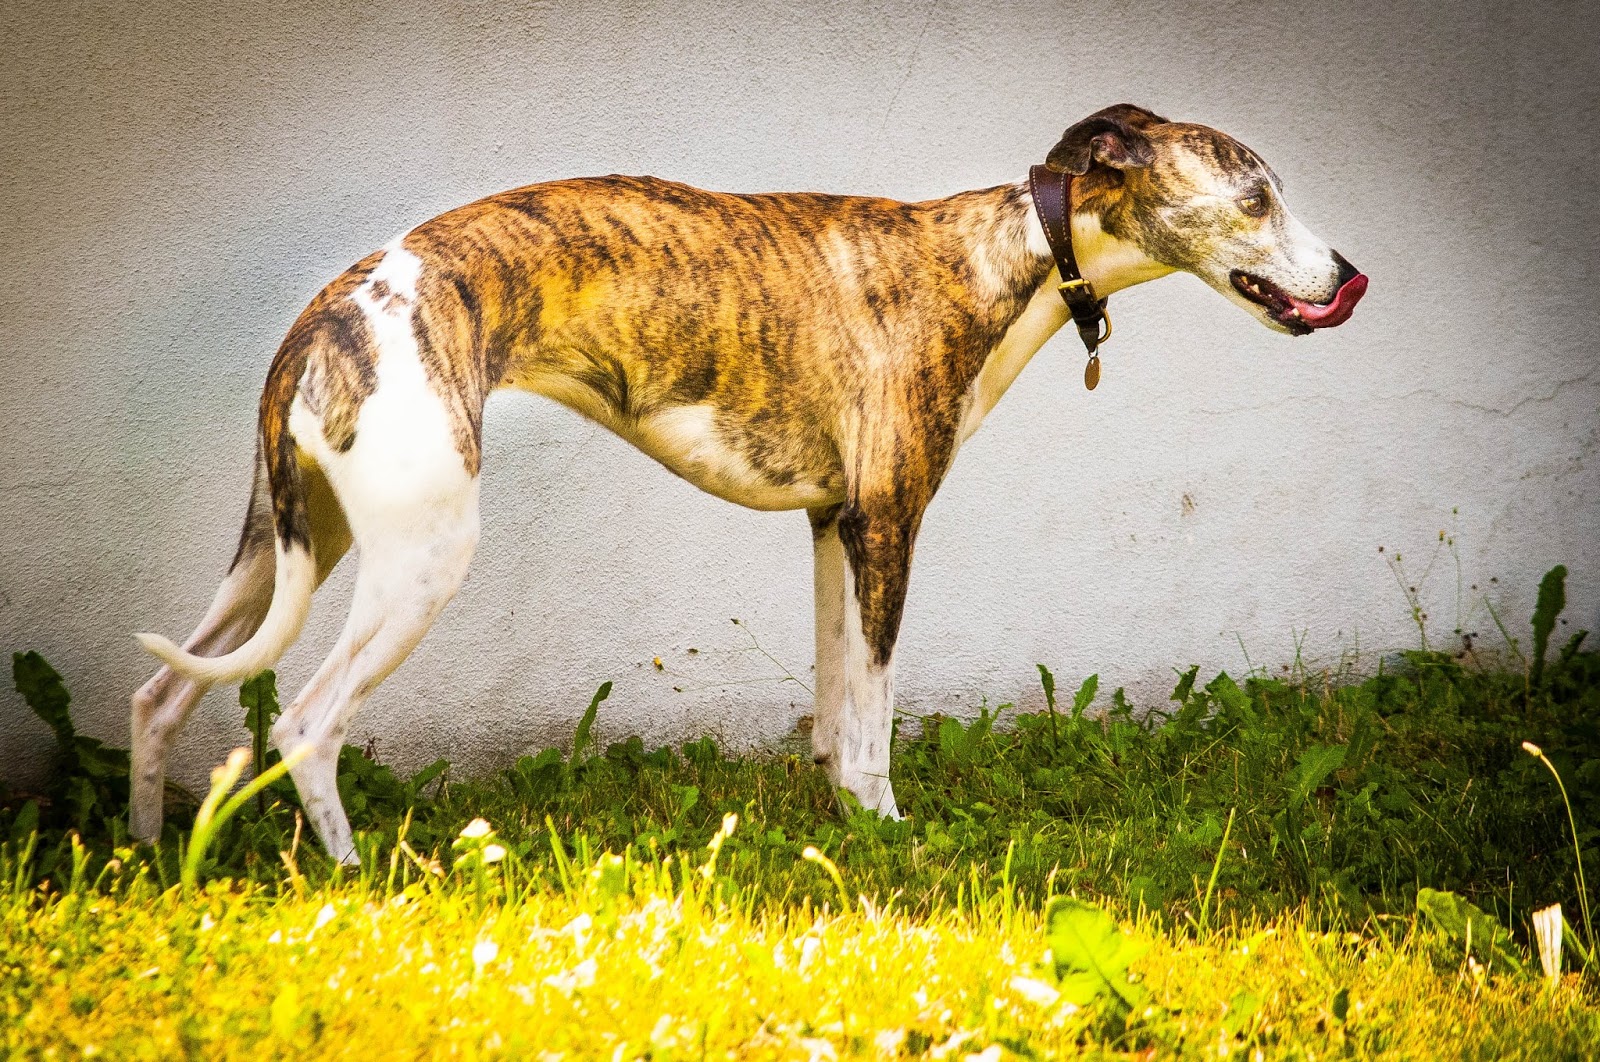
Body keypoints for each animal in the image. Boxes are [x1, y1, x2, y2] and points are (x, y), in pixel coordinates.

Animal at [130, 104, 1366, 863]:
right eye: (1255, 197)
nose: (1351, 276)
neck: (998, 256)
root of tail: (333, 306)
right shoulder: (887, 524)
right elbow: (873, 716)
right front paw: (888, 837)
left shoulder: (829, 525)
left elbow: (834, 703)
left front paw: (840, 821)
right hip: (418, 559)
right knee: (306, 723)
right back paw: (356, 876)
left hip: (285, 548)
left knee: (160, 695)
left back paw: (147, 857)